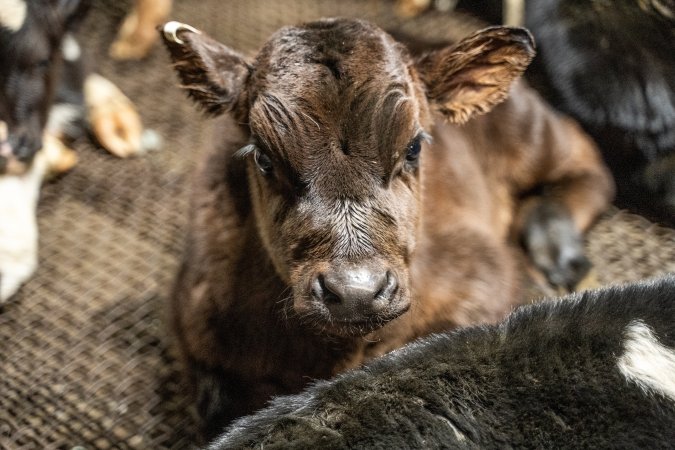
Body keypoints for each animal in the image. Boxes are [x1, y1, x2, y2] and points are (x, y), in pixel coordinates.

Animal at [161, 18, 616, 440]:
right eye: (263, 158)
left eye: (413, 147)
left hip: (530, 129)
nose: (356, 292)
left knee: (588, 159)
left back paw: (556, 251)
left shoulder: (484, 276)